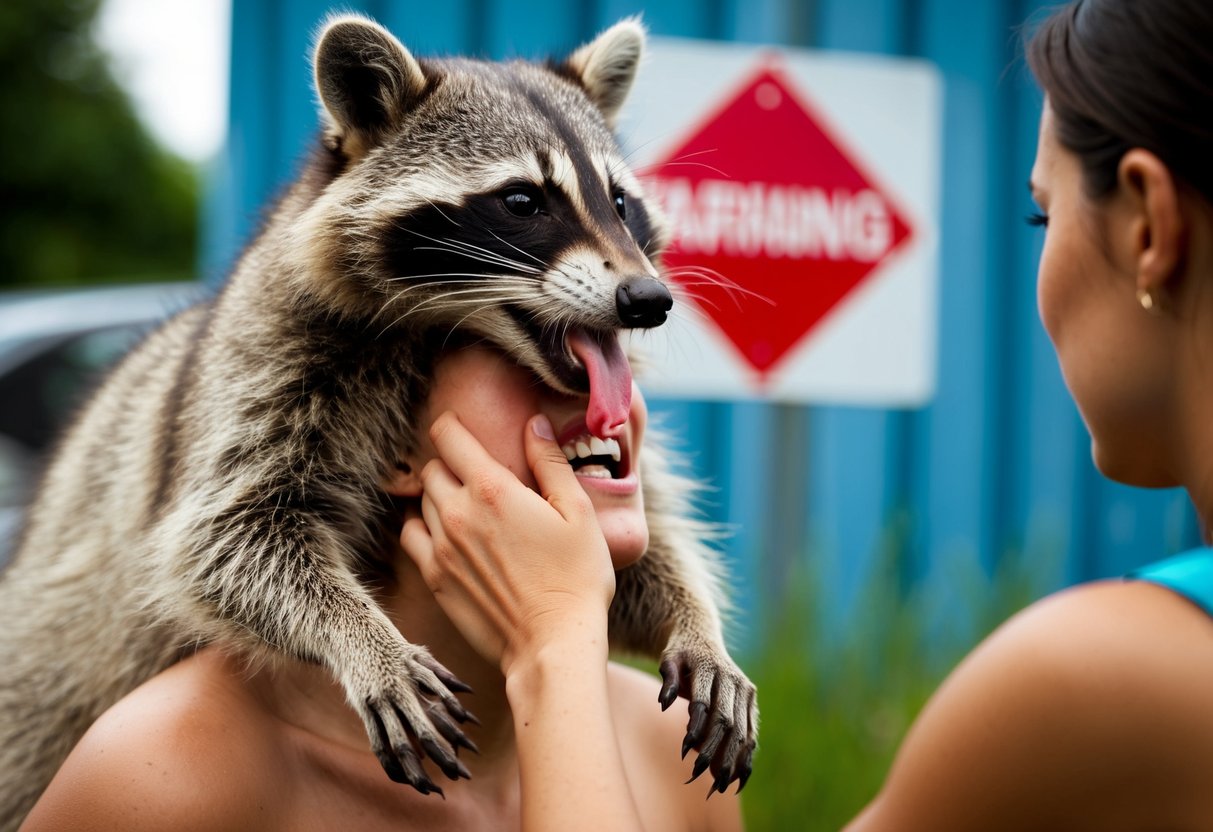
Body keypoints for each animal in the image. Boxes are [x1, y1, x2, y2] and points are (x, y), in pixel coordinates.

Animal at [0, 15, 757, 826]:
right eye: (523, 201)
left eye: (619, 202)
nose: (648, 300)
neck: (434, 328)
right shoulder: (263, 362)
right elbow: (227, 537)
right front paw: (363, 639)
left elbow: (643, 550)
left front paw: (696, 621)